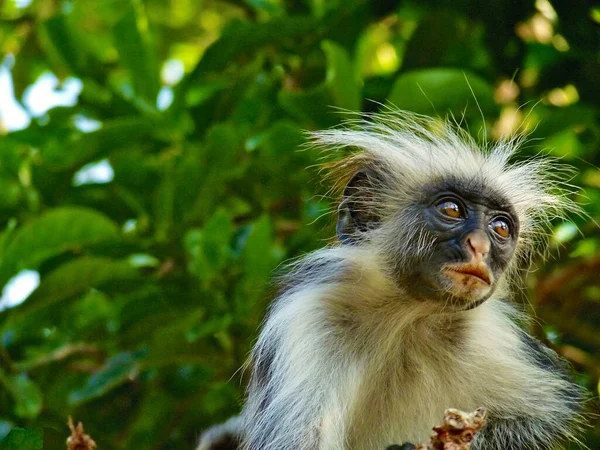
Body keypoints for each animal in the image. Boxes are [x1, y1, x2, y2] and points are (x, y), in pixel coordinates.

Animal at [199, 110, 584, 450]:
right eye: (451, 209)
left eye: (501, 228)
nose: (480, 245)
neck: (407, 316)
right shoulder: (309, 314)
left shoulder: (489, 334)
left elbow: (547, 416)